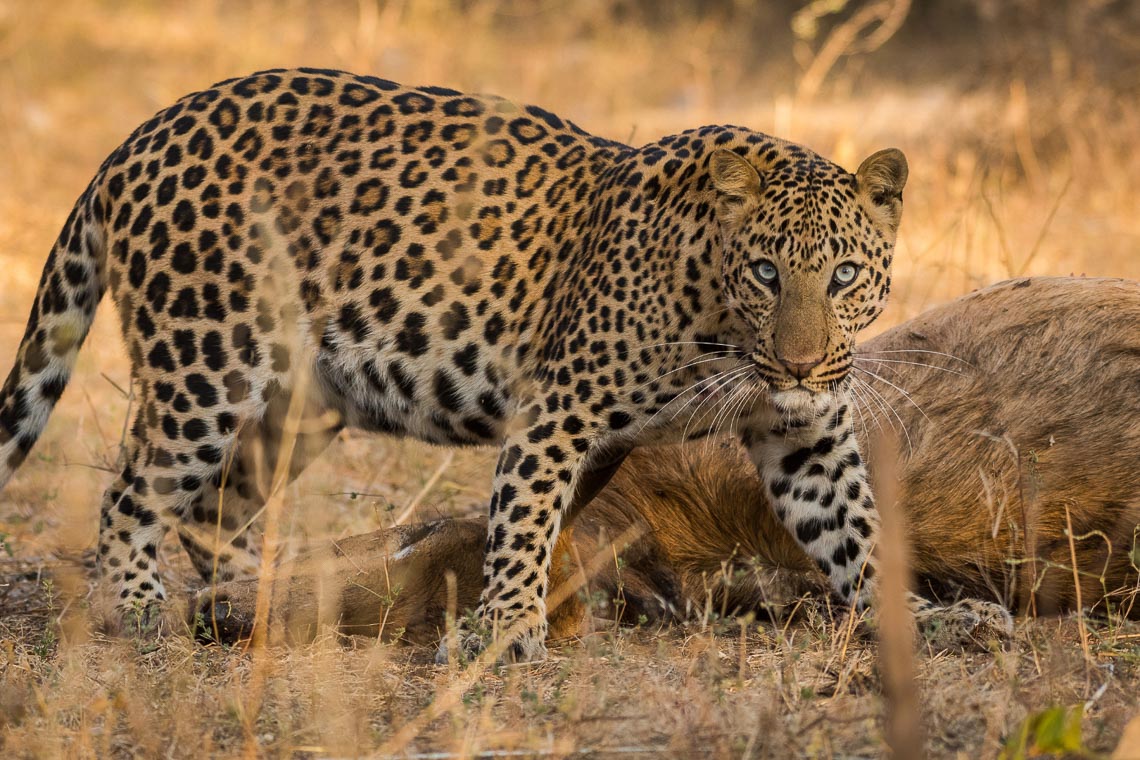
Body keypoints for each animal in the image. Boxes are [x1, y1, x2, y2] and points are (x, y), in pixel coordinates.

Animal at [0, 68, 907, 660]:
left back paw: (259, 599)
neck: (718, 317)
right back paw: (141, 613)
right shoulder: (557, 408)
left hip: (297, 406)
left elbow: (855, 525)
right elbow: (525, 521)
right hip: (204, 364)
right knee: (131, 493)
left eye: (843, 275)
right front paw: (504, 631)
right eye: (766, 273)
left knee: (212, 508)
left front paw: (909, 619)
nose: (799, 366)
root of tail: (140, 136)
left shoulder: (806, 437)